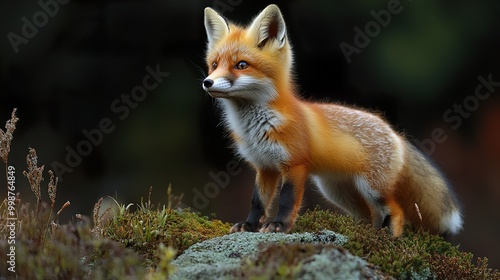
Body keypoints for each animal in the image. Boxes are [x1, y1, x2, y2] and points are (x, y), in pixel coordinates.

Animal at [201, 4, 462, 236]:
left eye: (241, 65)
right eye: (214, 64)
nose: (207, 82)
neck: (258, 127)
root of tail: (394, 132)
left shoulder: (294, 165)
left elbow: (286, 201)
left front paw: (279, 226)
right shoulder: (264, 166)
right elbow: (257, 202)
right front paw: (249, 226)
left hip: (371, 188)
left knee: (396, 212)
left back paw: (388, 239)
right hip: (340, 193)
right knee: (371, 215)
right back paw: (370, 234)